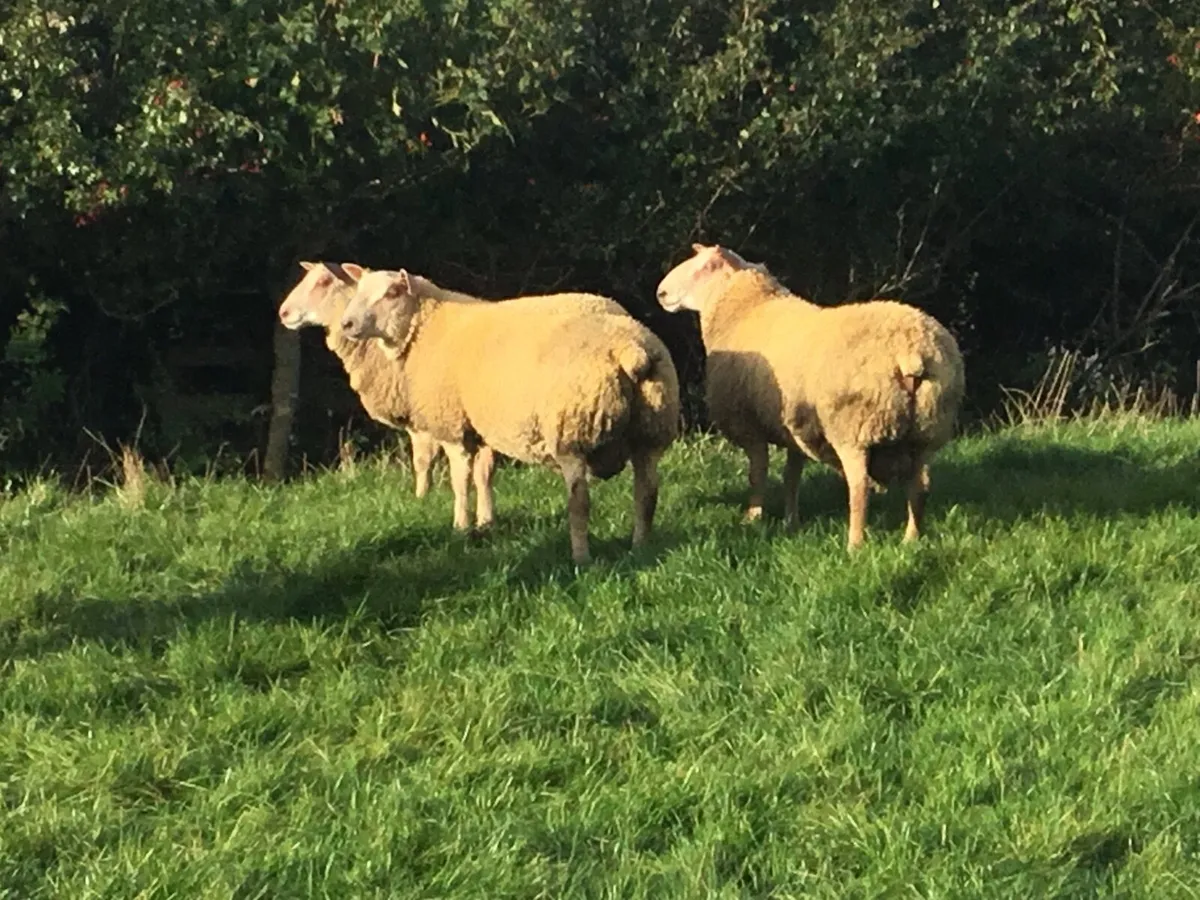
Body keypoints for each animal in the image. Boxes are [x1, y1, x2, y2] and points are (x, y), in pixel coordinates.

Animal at [278, 261, 498, 529]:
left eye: (324, 281)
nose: (283, 313)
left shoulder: (422, 416)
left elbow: (423, 461)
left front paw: (421, 499)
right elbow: (483, 471)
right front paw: (485, 520)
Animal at [336, 264, 681, 564]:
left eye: (392, 292)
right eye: (360, 289)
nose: (346, 324)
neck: (427, 326)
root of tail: (631, 350)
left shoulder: (453, 427)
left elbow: (461, 480)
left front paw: (461, 527)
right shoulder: (484, 428)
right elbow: (485, 475)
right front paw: (486, 522)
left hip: (572, 433)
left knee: (580, 501)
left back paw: (581, 558)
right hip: (651, 431)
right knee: (646, 493)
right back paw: (640, 548)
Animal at [656, 243, 965, 550]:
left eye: (705, 266)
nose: (661, 293)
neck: (747, 309)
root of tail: (911, 351)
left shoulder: (748, 424)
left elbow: (758, 473)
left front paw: (753, 518)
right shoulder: (795, 429)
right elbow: (791, 477)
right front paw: (790, 521)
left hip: (854, 428)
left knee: (860, 487)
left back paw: (855, 544)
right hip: (926, 431)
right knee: (920, 486)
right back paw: (911, 539)